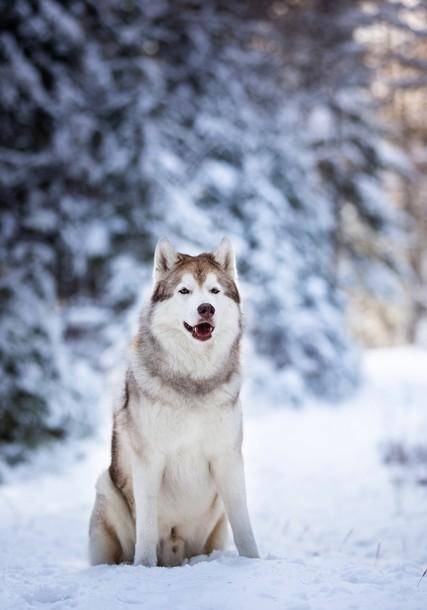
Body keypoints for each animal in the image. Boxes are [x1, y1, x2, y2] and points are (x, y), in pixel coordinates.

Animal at [88, 236, 260, 564]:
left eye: (214, 291)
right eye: (184, 291)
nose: (206, 309)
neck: (193, 379)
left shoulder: (227, 458)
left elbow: (245, 525)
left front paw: (254, 563)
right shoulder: (149, 460)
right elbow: (146, 528)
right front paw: (144, 567)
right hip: (106, 485)